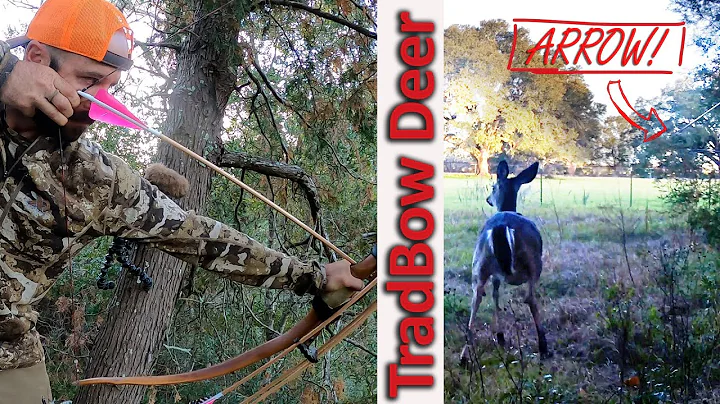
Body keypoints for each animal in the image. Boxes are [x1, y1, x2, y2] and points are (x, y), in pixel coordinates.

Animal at [461, 160, 549, 362]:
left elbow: (495, 295)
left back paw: (464, 357)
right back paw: (543, 346)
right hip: (534, 262)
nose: (488, 199)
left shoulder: (496, 274)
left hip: (480, 262)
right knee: (530, 298)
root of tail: (502, 225)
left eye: (493, 187)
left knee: (476, 298)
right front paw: (501, 336)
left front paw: (500, 336)